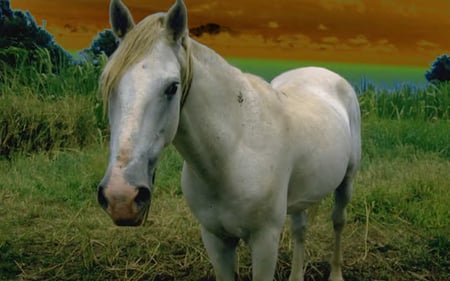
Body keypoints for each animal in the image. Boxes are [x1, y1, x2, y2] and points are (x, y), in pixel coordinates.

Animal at [97, 1, 362, 278]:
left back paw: (336, 274)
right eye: (107, 84)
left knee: (338, 221)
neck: (232, 153)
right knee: (300, 230)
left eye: (172, 87)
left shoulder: (265, 241)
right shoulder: (215, 239)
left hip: (347, 181)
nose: (121, 197)